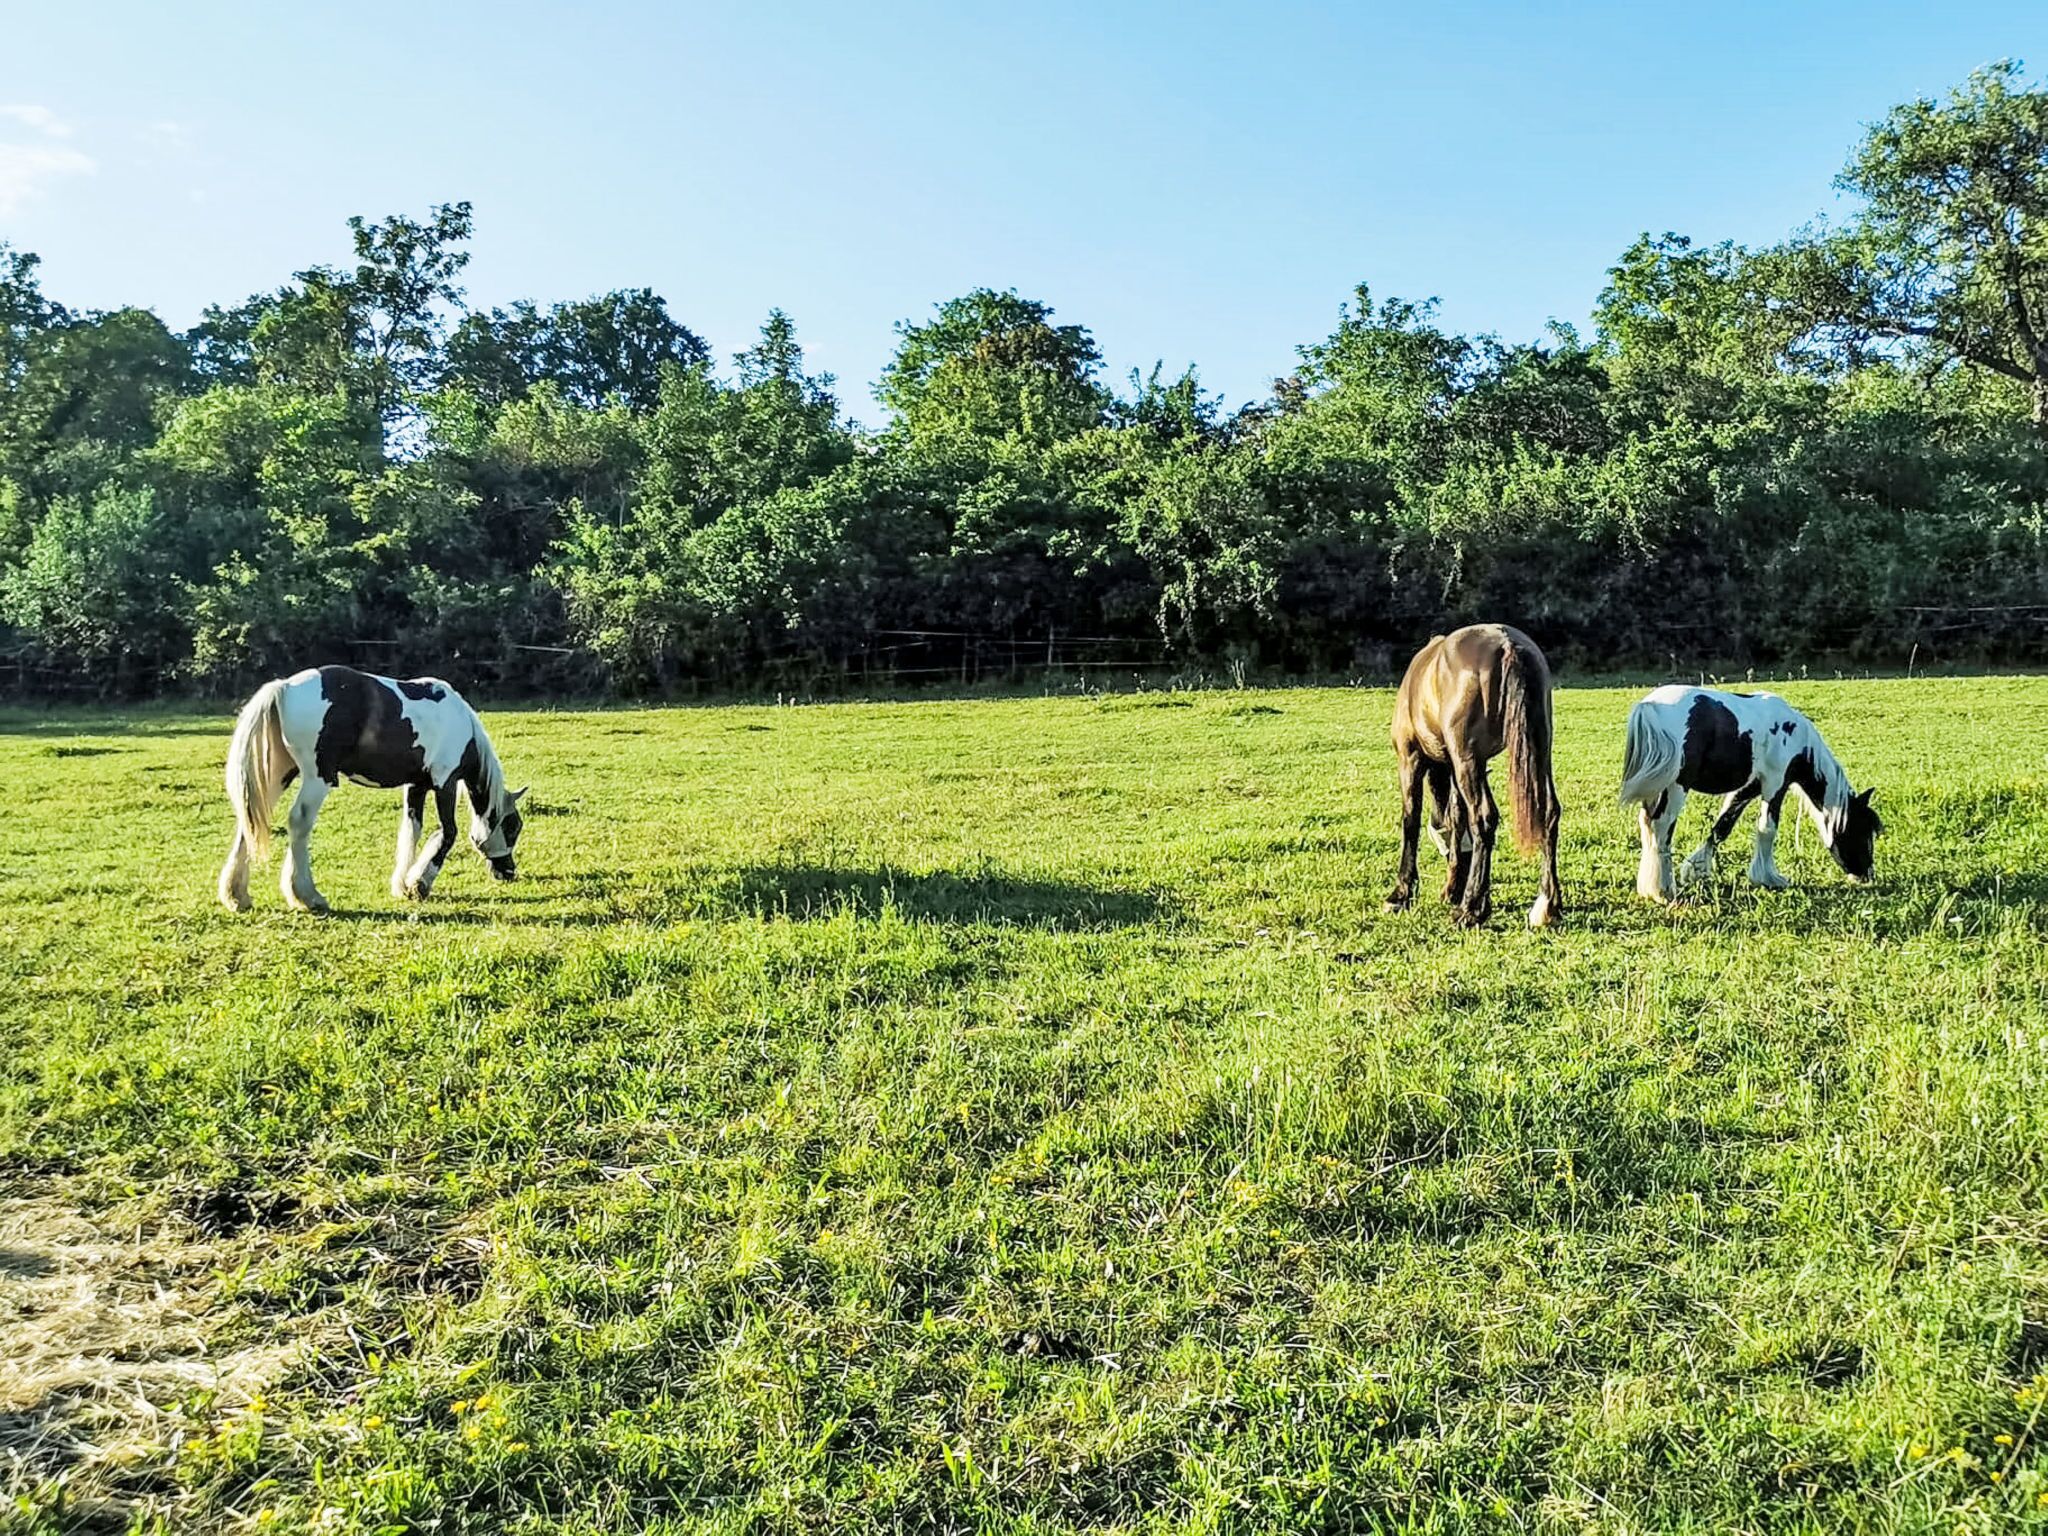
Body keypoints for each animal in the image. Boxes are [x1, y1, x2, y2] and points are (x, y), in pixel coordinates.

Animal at [217, 666, 527, 914]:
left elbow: (411, 833)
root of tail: (284, 687)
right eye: (513, 826)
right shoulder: (444, 782)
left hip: (280, 775)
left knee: (251, 820)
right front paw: (420, 883)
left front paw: (403, 885)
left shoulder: (416, 787)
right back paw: (308, 897)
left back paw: (237, 896)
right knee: (299, 822)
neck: (462, 726)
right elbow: (448, 833)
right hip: (317, 778)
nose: (508, 872)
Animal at [1385, 623, 1563, 928]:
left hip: (1466, 759)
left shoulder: (1411, 758)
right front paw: (1455, 887)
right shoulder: (1460, 768)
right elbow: (1458, 820)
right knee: (1549, 812)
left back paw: (1470, 909)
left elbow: (1411, 819)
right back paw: (1547, 904)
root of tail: (1507, 644)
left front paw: (1402, 893)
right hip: (1537, 751)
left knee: (1483, 817)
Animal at [1617, 685, 1880, 902]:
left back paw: (1650, 887)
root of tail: (1649, 706)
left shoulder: (1749, 787)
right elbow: (1767, 828)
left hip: (1656, 789)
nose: (1866, 875)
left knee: (1647, 825)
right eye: (1863, 831)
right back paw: (1663, 891)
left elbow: (1722, 826)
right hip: (1675, 787)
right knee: (1662, 827)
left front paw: (1696, 869)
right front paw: (1769, 878)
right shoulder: (1775, 784)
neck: (1796, 739)